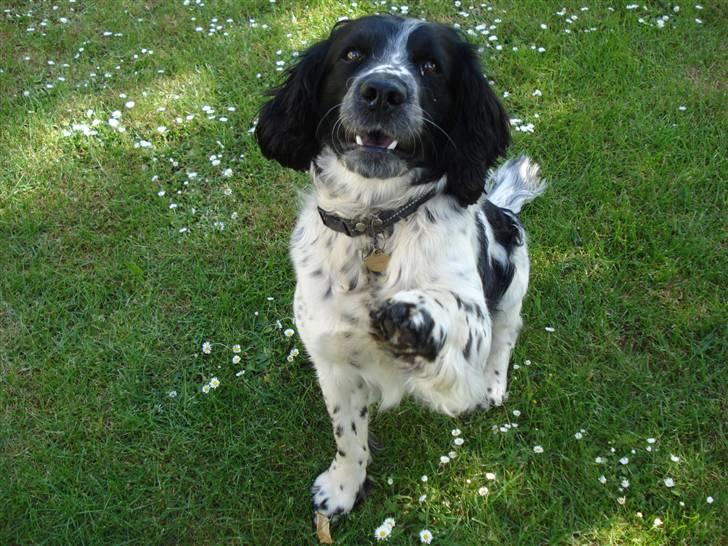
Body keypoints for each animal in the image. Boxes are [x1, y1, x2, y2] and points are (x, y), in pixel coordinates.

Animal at [256, 12, 544, 516]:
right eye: (352, 53)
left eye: (431, 66)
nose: (383, 91)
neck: (376, 221)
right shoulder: (331, 358)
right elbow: (348, 436)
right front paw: (343, 488)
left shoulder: (470, 314)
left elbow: (454, 312)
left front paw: (412, 316)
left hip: (512, 280)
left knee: (506, 334)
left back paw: (491, 384)